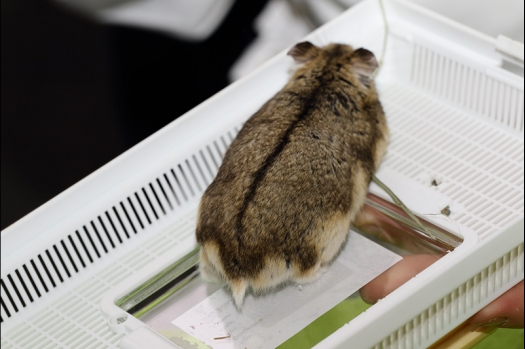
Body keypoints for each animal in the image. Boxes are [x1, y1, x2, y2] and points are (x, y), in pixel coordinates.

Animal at [194, 41, 386, 308]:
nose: (341, 44)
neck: (326, 72)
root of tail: (237, 267)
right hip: (328, 240)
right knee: (305, 276)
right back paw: (324, 271)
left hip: (206, 257)